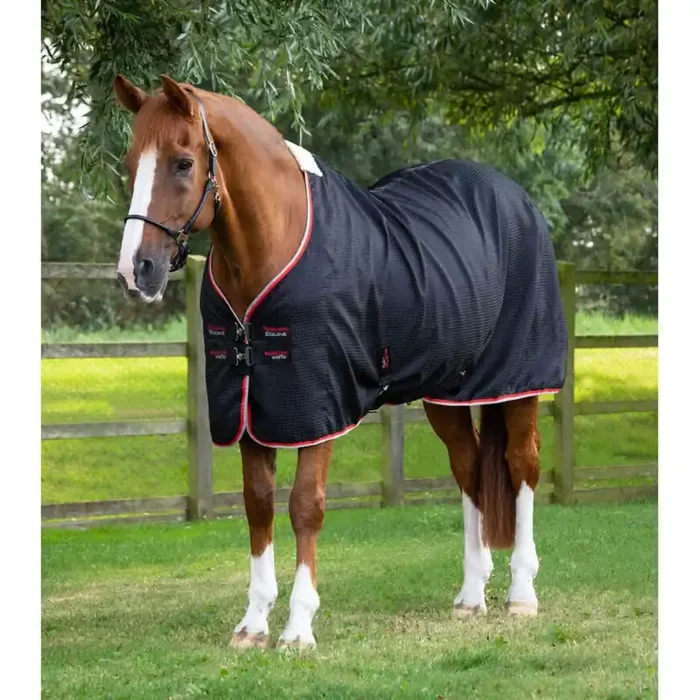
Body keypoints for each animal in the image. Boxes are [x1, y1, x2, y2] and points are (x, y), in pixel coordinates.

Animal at [113, 74, 567, 650]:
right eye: (130, 162)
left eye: (183, 162)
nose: (136, 270)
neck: (275, 244)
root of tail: (515, 198)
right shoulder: (249, 407)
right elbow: (257, 504)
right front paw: (253, 624)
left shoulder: (317, 403)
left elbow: (305, 505)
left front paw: (298, 628)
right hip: (447, 391)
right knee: (468, 471)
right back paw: (470, 595)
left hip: (518, 381)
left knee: (522, 465)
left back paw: (521, 593)